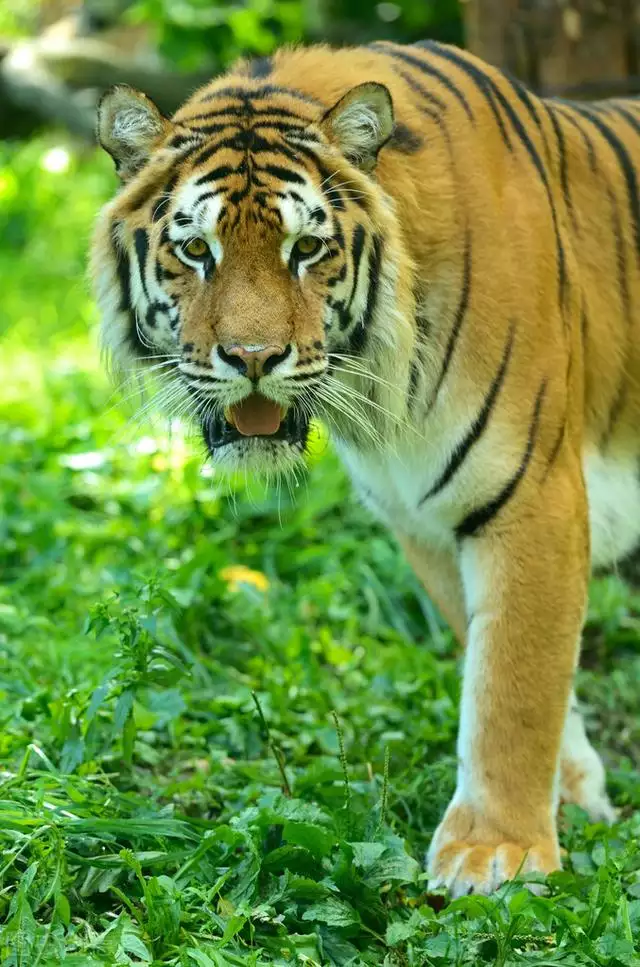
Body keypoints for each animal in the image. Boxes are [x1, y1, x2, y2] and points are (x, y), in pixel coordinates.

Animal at [90, 39, 640, 900]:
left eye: (306, 249)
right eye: (196, 250)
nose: (253, 358)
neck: (384, 394)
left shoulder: (529, 494)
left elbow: (514, 685)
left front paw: (498, 852)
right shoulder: (425, 513)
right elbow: (505, 663)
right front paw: (572, 797)